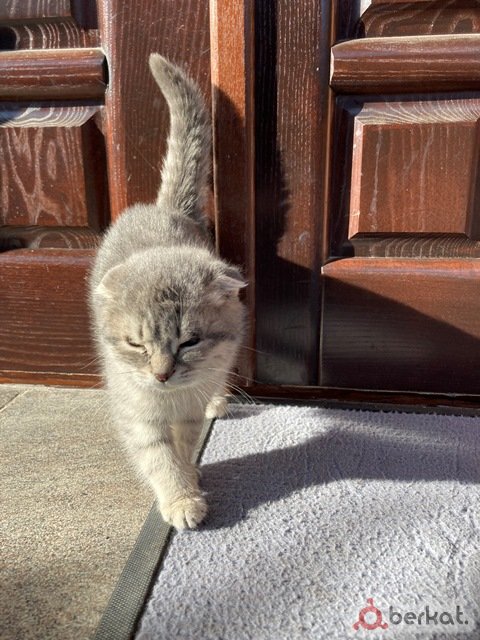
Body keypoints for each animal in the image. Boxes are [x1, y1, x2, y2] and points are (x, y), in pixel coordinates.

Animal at [89, 54, 246, 530]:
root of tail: (165, 209)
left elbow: (184, 443)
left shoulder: (190, 408)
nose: (161, 374)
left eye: (189, 341)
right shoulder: (137, 414)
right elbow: (159, 457)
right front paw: (180, 497)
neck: (171, 398)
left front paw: (189, 479)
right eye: (136, 345)